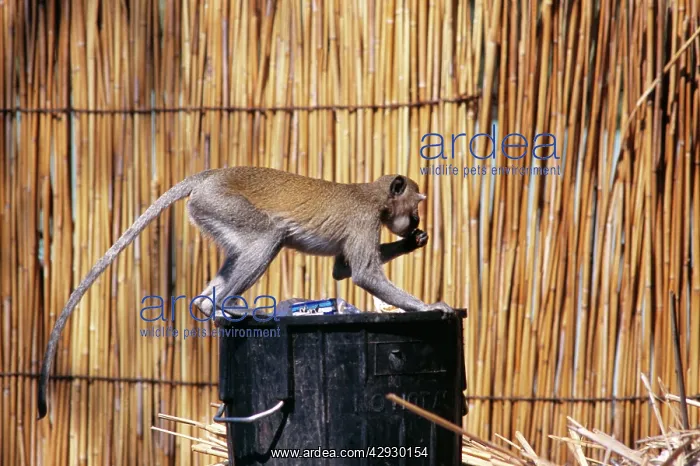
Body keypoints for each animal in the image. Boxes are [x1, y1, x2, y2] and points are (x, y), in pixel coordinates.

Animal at [37, 166, 453, 420]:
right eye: (414, 209)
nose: (415, 223)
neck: (374, 195)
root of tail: (213, 175)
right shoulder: (364, 219)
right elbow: (362, 273)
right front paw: (430, 307)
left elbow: (342, 270)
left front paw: (415, 244)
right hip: (220, 204)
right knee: (270, 235)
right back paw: (226, 308)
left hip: (209, 211)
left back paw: (208, 305)